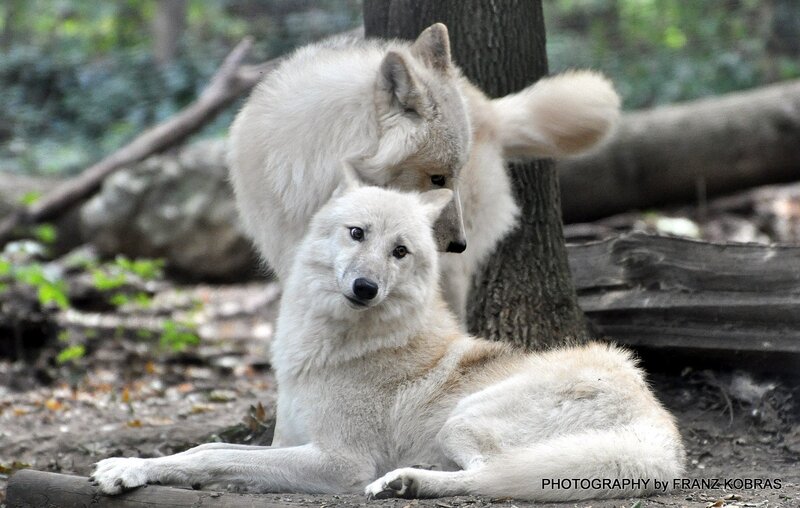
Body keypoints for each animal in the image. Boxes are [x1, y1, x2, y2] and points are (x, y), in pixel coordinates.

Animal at [91, 171, 684, 502]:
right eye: (357, 233)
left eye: (401, 251)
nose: (365, 287)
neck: (330, 348)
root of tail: (664, 434)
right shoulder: (287, 441)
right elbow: (208, 447)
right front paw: (138, 464)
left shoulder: (340, 462)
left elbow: (210, 458)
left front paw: (125, 469)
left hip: (462, 421)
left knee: (493, 478)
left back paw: (407, 483)